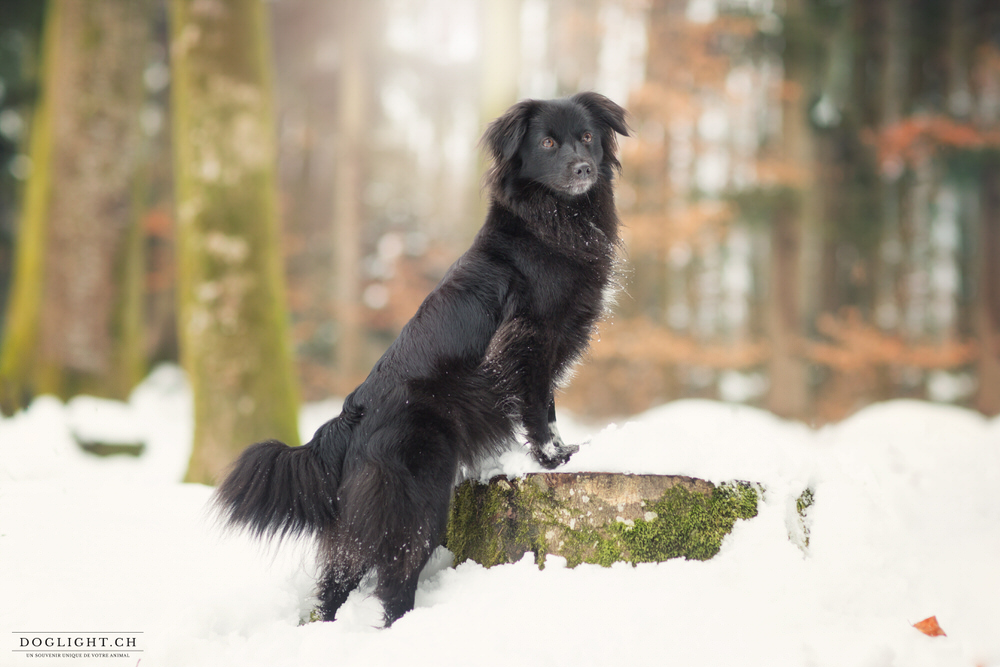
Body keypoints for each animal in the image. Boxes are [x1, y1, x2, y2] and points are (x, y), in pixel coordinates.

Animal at [215, 91, 628, 628]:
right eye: (547, 143)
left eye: (587, 137)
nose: (583, 168)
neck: (550, 223)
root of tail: (351, 419)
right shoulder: (530, 339)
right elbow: (537, 406)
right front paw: (553, 458)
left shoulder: (545, 348)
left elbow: (548, 404)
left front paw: (559, 451)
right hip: (419, 498)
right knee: (394, 577)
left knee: (334, 582)